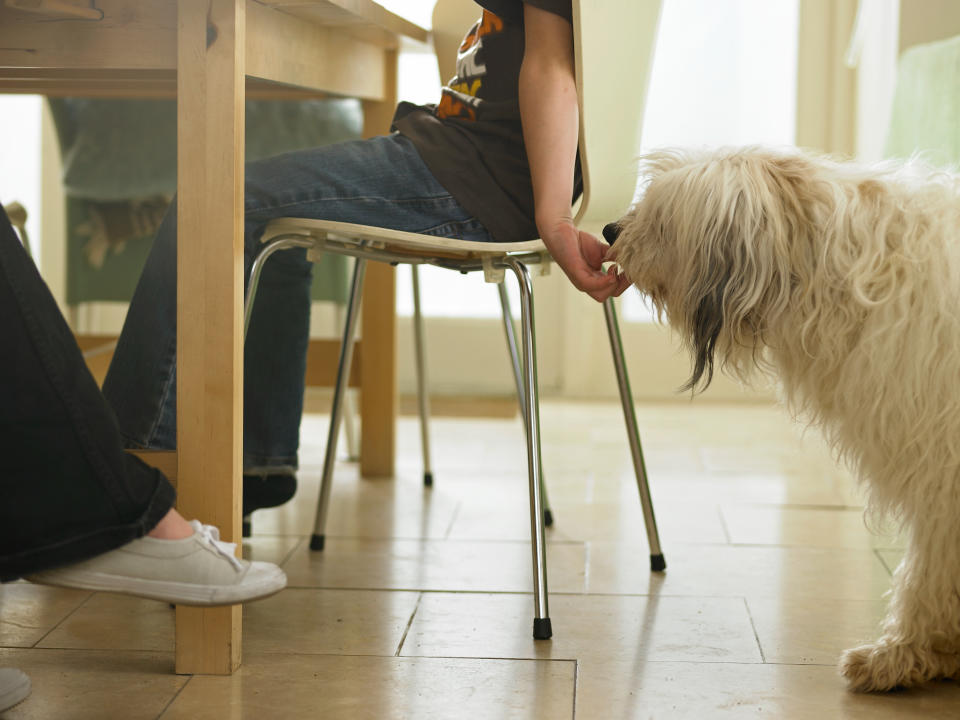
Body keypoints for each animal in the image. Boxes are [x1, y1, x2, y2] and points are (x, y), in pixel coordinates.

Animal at [608, 146, 960, 692]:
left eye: (662, 219)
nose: (608, 231)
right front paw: (920, 652)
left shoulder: (943, 467)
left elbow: (930, 566)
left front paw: (904, 652)